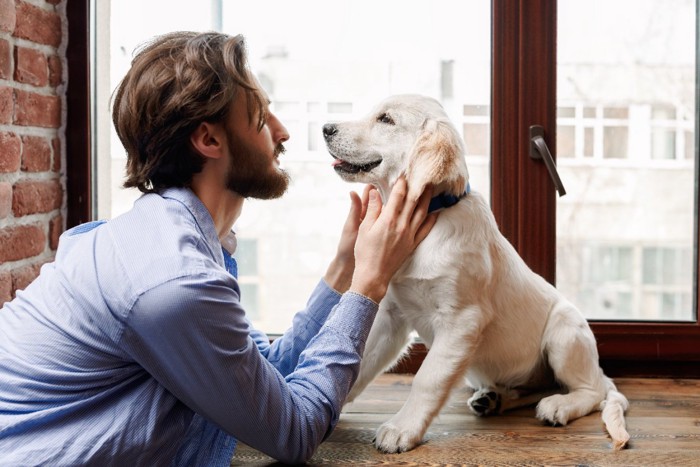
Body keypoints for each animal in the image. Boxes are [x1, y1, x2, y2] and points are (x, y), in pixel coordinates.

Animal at [322, 94, 628, 454]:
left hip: (564, 332)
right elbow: (364, 358)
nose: (326, 128)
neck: (431, 217)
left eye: (386, 119)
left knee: (591, 391)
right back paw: (495, 400)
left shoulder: (462, 320)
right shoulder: (391, 314)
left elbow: (428, 378)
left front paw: (401, 429)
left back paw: (558, 405)